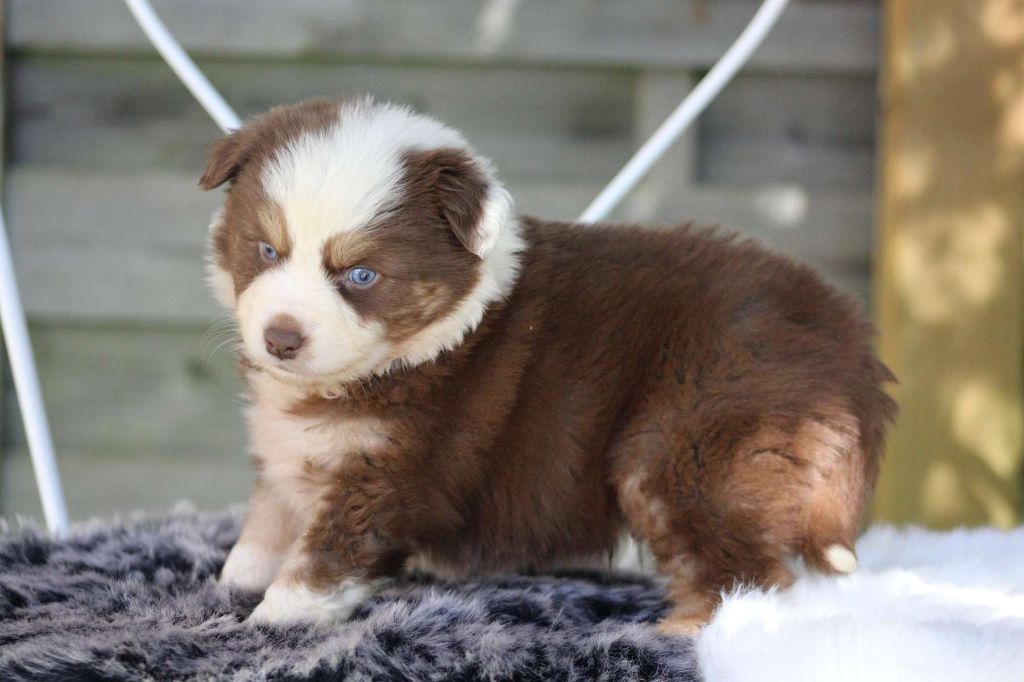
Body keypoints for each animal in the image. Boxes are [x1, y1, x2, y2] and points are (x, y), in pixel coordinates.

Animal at [204, 97, 896, 634]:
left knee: (748, 573)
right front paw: (236, 579)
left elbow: (325, 556)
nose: (281, 338)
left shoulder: (389, 471)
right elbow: (267, 518)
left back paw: (689, 632)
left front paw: (273, 617)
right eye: (266, 249)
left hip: (693, 449)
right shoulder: (291, 454)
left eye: (361, 275)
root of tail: (850, 341)